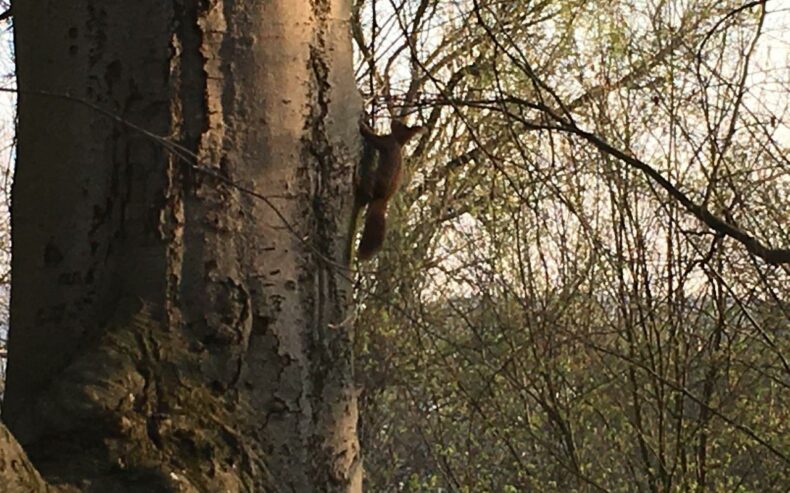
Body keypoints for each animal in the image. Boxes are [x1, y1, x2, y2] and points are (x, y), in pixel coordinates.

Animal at [354, 118, 424, 260]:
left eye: (399, 125)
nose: (394, 119)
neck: (398, 142)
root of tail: (382, 199)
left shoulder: (386, 142)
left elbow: (372, 138)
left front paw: (363, 126)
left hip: (373, 179)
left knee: (367, 193)